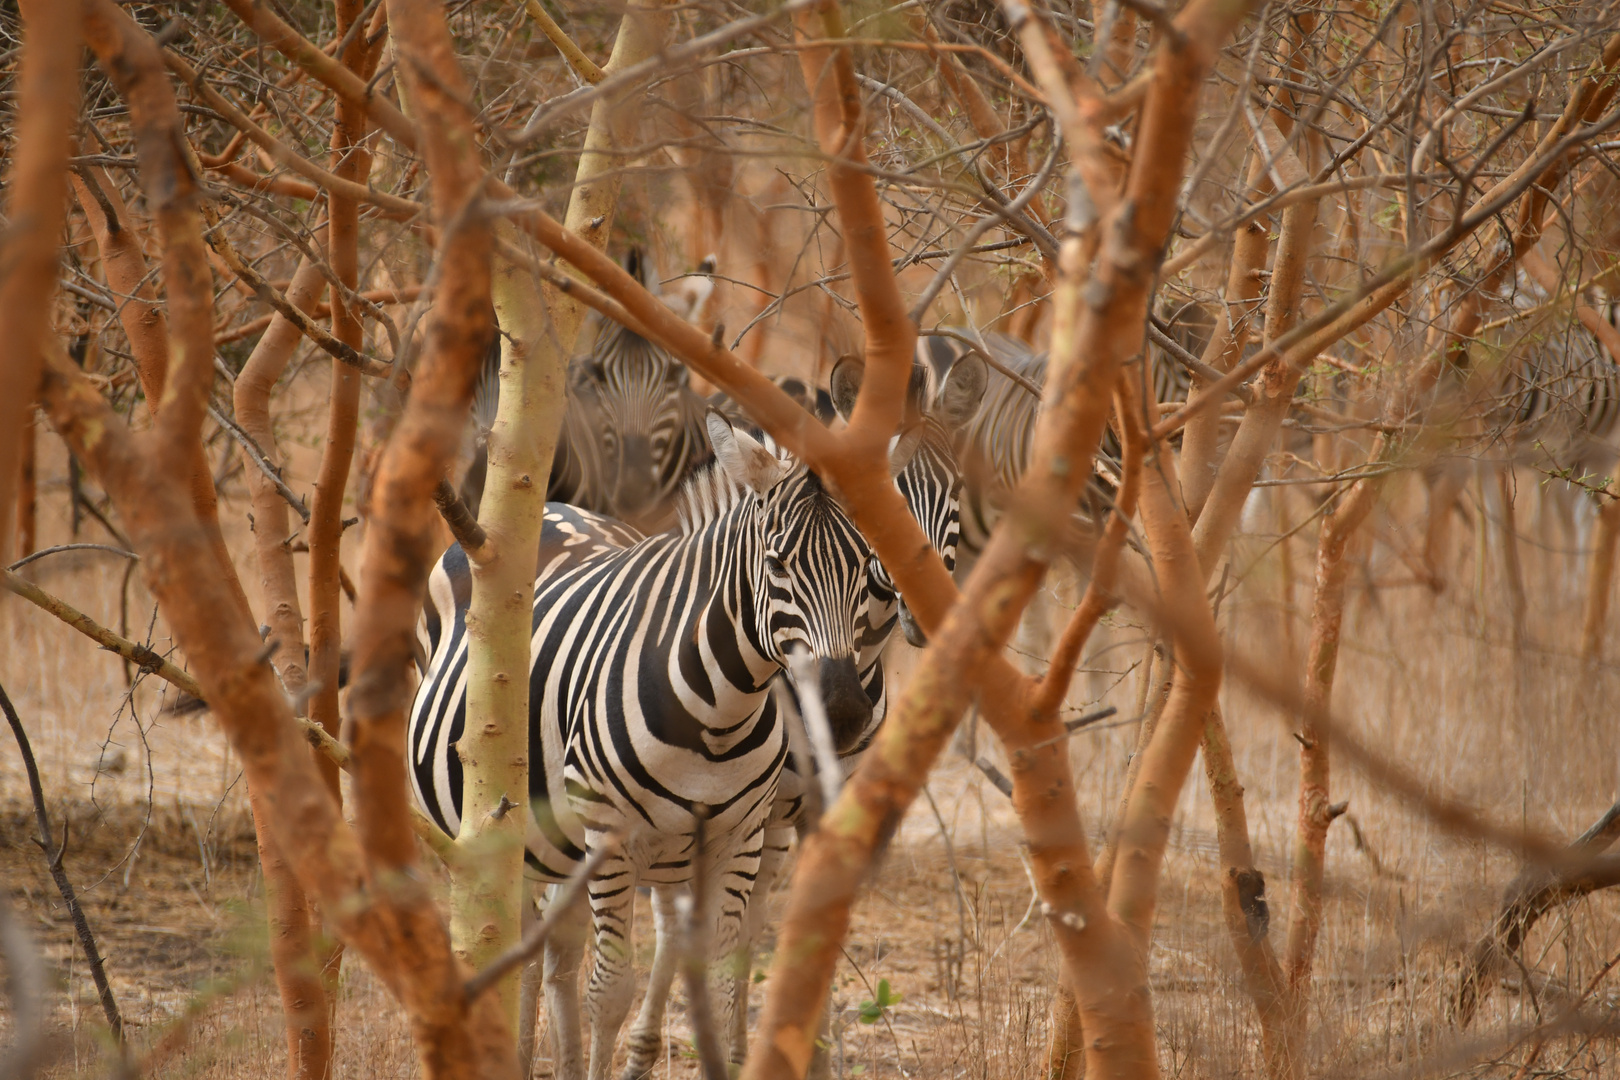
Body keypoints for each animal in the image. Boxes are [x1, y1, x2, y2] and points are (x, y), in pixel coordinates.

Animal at [405, 408, 913, 1080]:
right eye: (776, 564)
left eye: (869, 568)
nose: (843, 712)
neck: (722, 710)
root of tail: (553, 505)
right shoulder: (612, 837)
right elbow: (610, 993)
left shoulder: (740, 838)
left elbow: (721, 984)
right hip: (501, 824)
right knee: (526, 952)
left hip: (567, 843)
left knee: (558, 954)